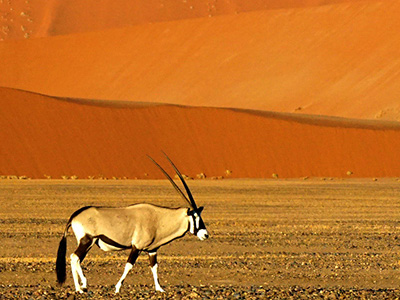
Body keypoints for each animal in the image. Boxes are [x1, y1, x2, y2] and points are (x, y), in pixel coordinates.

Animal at [56, 155, 209, 292]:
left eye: (200, 215)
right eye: (195, 216)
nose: (205, 235)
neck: (158, 218)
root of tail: (75, 215)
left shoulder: (152, 249)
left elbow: (154, 267)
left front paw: (160, 289)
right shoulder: (137, 247)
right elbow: (129, 265)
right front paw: (117, 288)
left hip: (89, 243)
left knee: (77, 260)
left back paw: (82, 285)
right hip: (87, 240)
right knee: (74, 257)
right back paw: (80, 287)